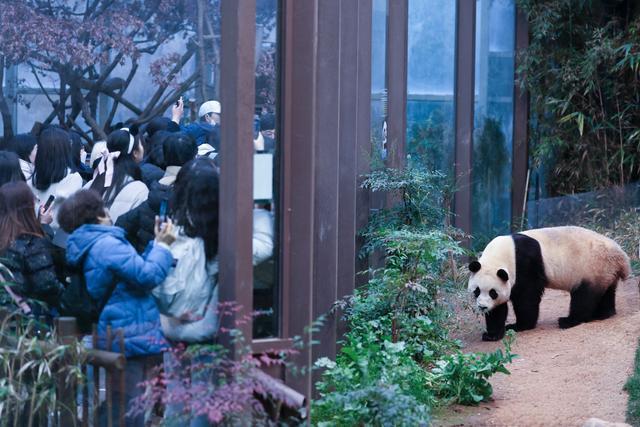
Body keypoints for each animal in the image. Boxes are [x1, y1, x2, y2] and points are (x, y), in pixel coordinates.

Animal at [468, 226, 632, 342]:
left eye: (493, 293)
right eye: (477, 291)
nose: (482, 307)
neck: (503, 254)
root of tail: (621, 257)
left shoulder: (525, 265)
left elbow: (527, 297)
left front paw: (519, 326)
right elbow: (498, 309)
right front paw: (492, 334)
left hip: (591, 267)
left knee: (584, 296)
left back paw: (569, 320)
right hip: (604, 271)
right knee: (606, 292)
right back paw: (603, 314)